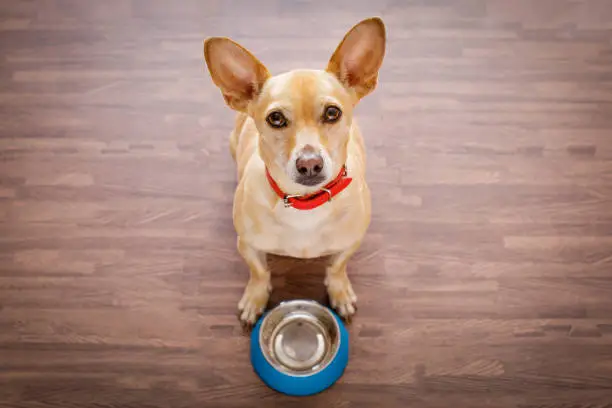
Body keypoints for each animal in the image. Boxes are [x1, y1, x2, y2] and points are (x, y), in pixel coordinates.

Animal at [204, 16, 388, 326]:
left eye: (332, 113)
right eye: (275, 118)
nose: (309, 163)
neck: (306, 203)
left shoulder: (350, 243)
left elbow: (336, 268)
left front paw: (339, 291)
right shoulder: (248, 246)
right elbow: (259, 273)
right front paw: (255, 298)